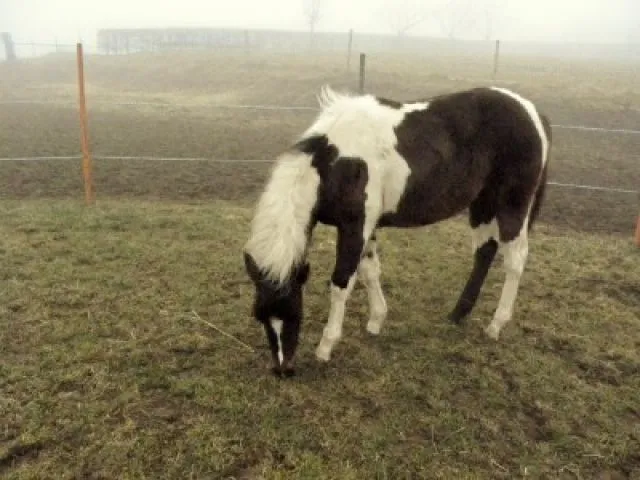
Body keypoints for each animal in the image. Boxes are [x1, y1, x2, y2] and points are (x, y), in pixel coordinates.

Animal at [243, 86, 552, 377]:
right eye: (260, 316)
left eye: (295, 313)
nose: (283, 370)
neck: (336, 163)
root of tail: (531, 111)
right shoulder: (366, 228)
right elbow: (370, 271)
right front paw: (376, 320)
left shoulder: (355, 227)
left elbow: (341, 283)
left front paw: (326, 347)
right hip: (482, 204)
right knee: (485, 251)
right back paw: (457, 314)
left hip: (512, 205)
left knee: (515, 260)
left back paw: (496, 325)